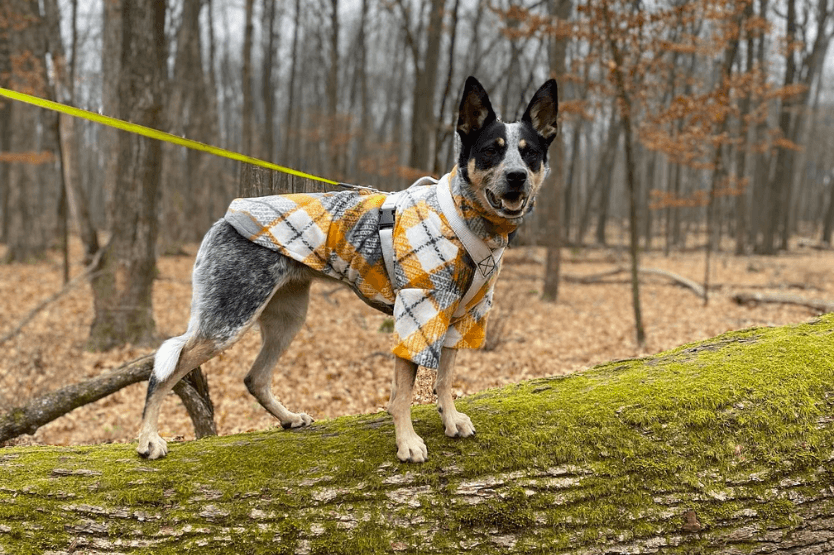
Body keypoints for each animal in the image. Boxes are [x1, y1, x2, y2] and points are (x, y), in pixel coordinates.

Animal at [138, 76, 560, 462]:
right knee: (164, 371)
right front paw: (407, 442)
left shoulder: (464, 317)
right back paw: (148, 439)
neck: (466, 219)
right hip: (229, 321)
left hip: (287, 318)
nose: (517, 177)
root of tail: (224, 219)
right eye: (490, 151)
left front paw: (451, 419)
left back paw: (288, 418)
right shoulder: (418, 312)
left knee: (254, 378)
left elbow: (445, 379)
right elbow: (403, 393)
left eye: (530, 154)